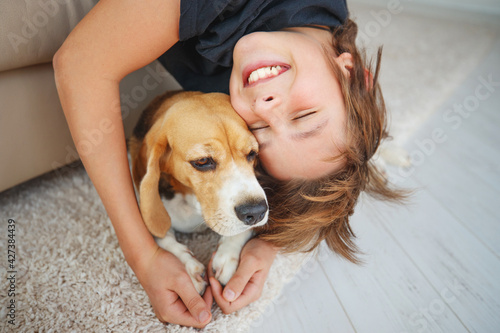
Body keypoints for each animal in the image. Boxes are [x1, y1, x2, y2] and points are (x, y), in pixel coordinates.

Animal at [129, 91, 270, 294]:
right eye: (202, 161)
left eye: (252, 153)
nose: (257, 212)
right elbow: (162, 238)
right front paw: (187, 269)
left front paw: (227, 256)